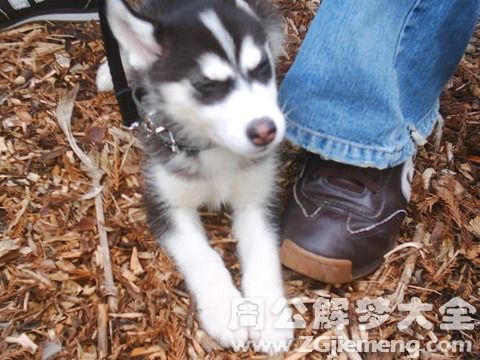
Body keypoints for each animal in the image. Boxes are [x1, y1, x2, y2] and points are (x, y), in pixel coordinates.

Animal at [98, 0, 292, 352]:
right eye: (207, 85)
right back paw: (112, 69)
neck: (214, 149)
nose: (265, 131)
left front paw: (270, 320)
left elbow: (262, 254)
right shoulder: (164, 203)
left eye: (261, 69)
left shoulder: (259, 199)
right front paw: (225, 311)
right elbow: (203, 256)